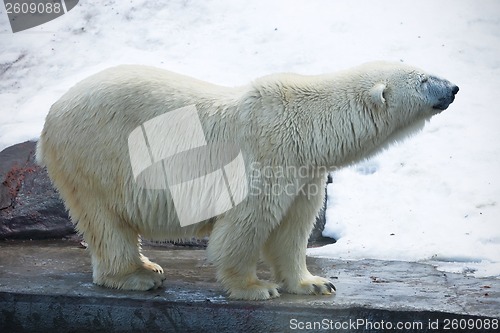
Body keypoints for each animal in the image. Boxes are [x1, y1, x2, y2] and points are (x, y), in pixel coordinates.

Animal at [36, 61, 458, 300]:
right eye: (424, 79)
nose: (454, 87)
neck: (308, 126)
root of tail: (50, 116)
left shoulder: (305, 171)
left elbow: (292, 229)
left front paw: (314, 283)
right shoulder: (268, 155)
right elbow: (246, 223)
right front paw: (255, 287)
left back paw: (147, 268)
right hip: (97, 154)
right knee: (106, 220)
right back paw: (138, 275)